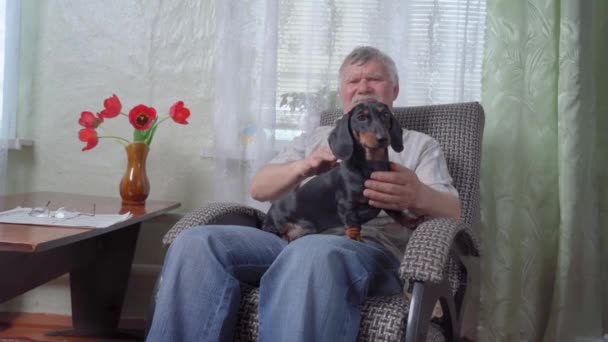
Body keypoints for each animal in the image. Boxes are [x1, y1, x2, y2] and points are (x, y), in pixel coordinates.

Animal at [262, 100, 418, 242]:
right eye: (361, 117)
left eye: (385, 115)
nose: (383, 138)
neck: (371, 166)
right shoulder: (346, 205)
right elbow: (353, 224)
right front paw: (355, 238)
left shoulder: (383, 198)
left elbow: (396, 212)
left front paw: (410, 221)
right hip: (277, 223)